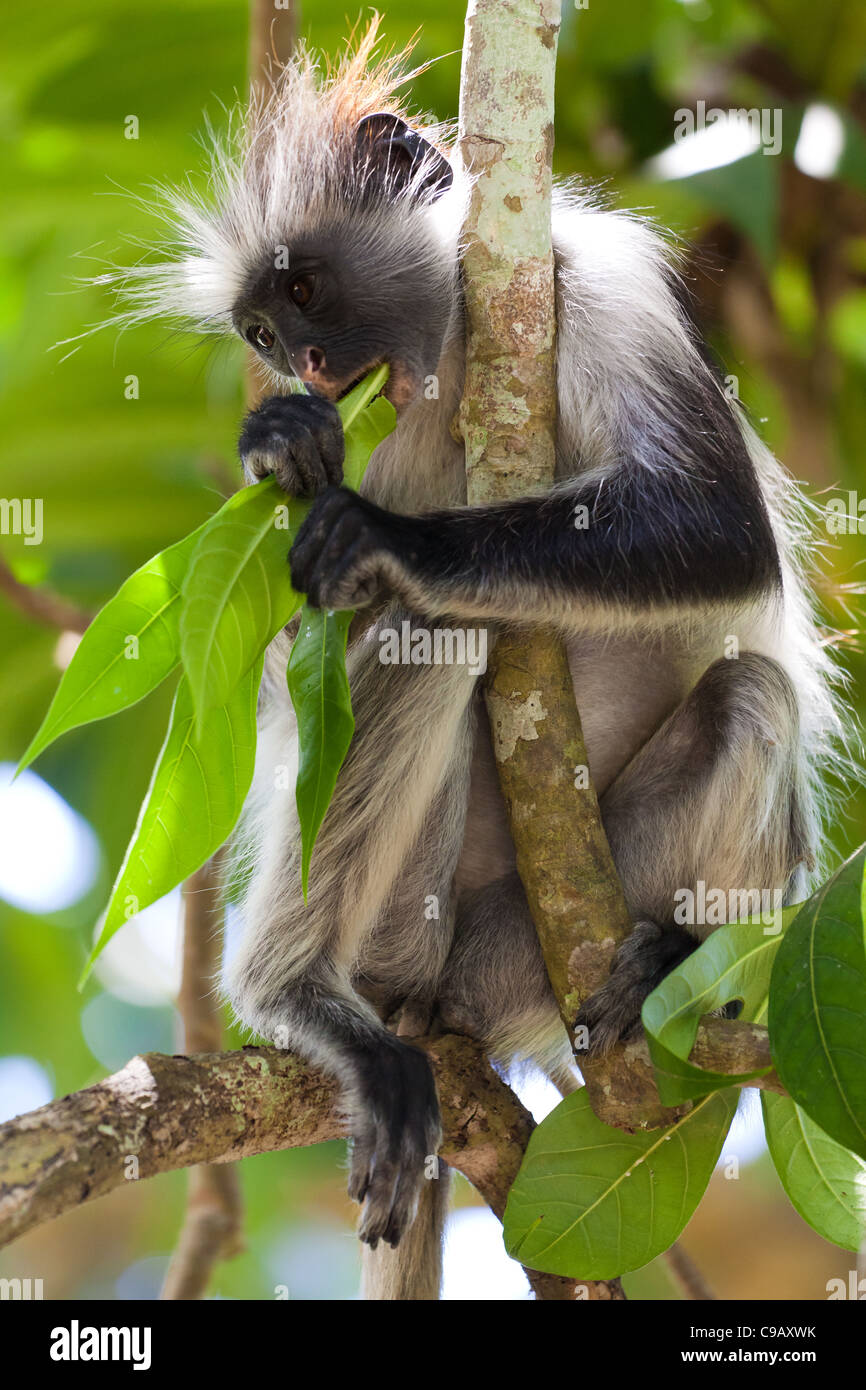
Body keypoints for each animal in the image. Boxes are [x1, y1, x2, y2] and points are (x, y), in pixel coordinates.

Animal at [103, 27, 845, 1295]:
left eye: (306, 290)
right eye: (261, 336)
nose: (306, 362)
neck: (454, 360)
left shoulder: (592, 285)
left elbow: (717, 533)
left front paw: (384, 538)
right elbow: (288, 674)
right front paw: (287, 444)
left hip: (513, 957)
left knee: (738, 691)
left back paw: (663, 949)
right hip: (420, 926)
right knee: (429, 641)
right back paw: (307, 999)